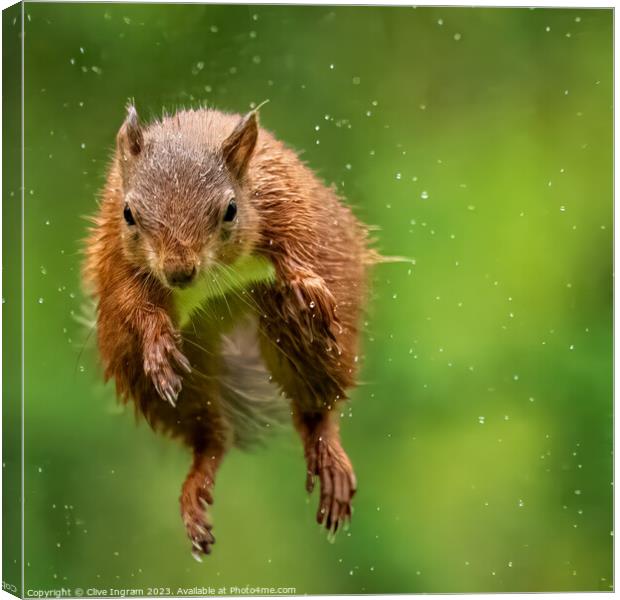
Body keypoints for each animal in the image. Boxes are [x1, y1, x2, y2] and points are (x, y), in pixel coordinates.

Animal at [83, 103, 378, 556]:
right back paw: (197, 481)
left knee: (316, 405)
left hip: (302, 332)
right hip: (165, 371)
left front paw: (306, 284)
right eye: (129, 215)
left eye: (231, 210)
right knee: (208, 436)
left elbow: (299, 242)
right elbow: (133, 304)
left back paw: (326, 451)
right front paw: (157, 344)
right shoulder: (115, 259)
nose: (179, 272)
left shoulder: (281, 196)